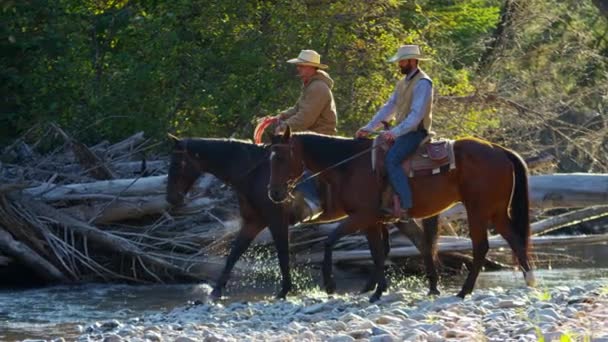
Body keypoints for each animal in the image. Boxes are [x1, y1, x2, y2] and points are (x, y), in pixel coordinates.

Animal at [165, 135, 394, 300]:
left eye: (176, 165)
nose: (171, 199)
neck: (254, 174)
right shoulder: (253, 222)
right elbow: (234, 253)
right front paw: (216, 291)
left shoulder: (277, 221)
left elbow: (282, 254)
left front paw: (285, 289)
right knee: (382, 248)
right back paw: (370, 286)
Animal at [268, 128, 536, 300]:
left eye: (280, 156)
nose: (274, 192)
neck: (350, 166)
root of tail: (499, 150)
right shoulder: (378, 220)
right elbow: (383, 251)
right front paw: (378, 289)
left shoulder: (363, 217)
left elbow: (335, 241)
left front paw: (335, 285)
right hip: (496, 211)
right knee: (515, 239)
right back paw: (529, 281)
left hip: (478, 209)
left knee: (481, 247)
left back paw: (464, 291)